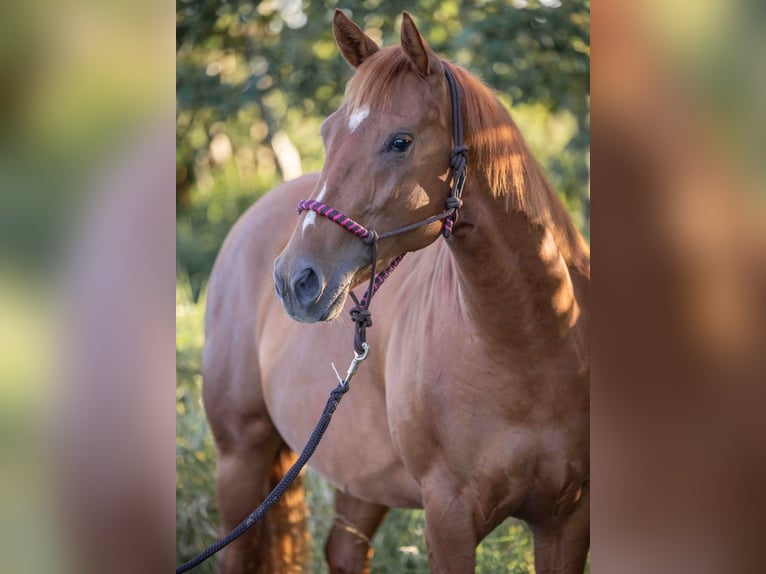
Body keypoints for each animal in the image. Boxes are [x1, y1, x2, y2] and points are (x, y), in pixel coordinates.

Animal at [201, 10, 592, 574]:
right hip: (240, 456)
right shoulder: (448, 519)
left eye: (400, 141)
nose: (295, 279)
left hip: (359, 472)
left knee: (344, 550)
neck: (535, 347)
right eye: (327, 132)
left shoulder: (567, 520)